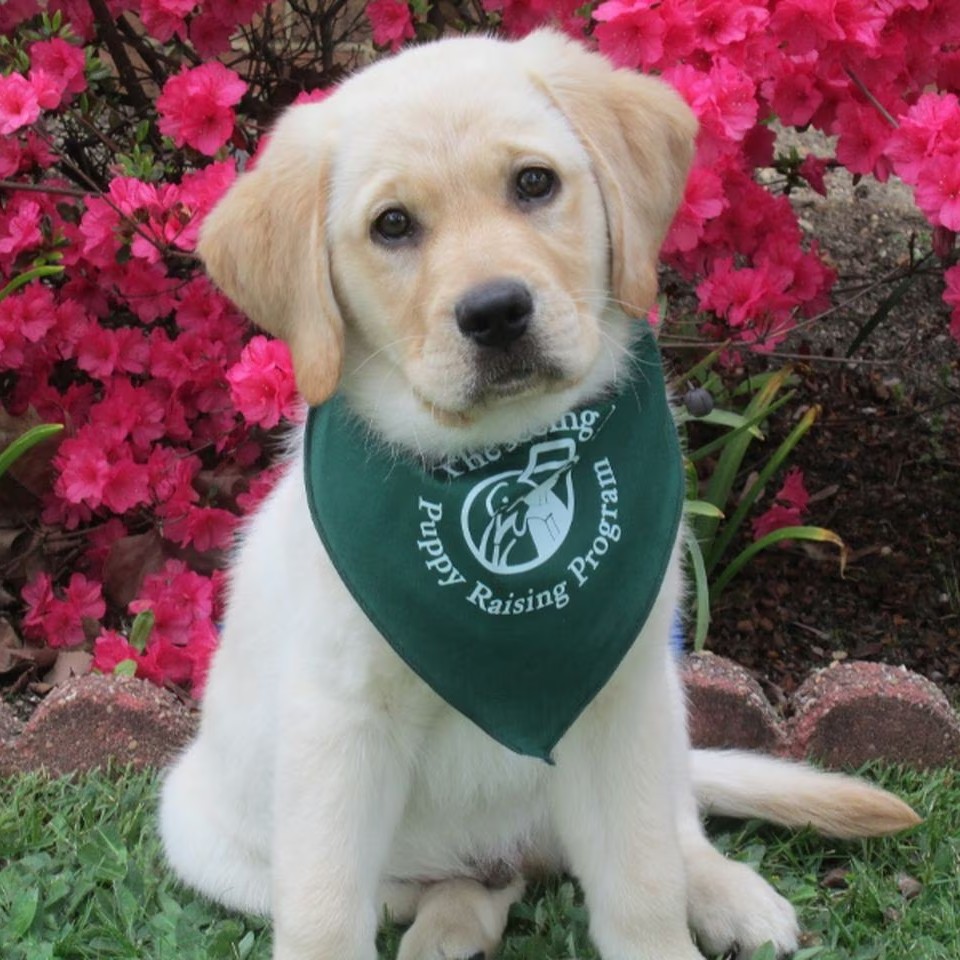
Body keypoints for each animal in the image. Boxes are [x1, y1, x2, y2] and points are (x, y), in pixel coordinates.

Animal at [159, 30, 924, 960]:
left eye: (533, 183)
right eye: (392, 225)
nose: (495, 313)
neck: (494, 455)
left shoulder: (618, 698)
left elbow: (641, 880)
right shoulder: (338, 726)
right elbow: (325, 911)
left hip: (663, 710)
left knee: (675, 825)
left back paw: (728, 894)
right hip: (203, 834)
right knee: (433, 889)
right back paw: (447, 924)